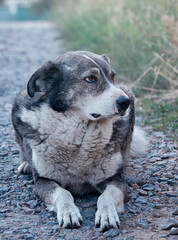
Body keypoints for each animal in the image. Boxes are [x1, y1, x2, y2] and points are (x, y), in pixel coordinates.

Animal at [11, 50, 147, 231]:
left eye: (112, 77)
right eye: (90, 79)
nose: (125, 102)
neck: (80, 134)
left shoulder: (116, 180)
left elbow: (106, 196)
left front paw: (107, 214)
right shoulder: (43, 181)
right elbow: (63, 192)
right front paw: (69, 212)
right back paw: (26, 164)